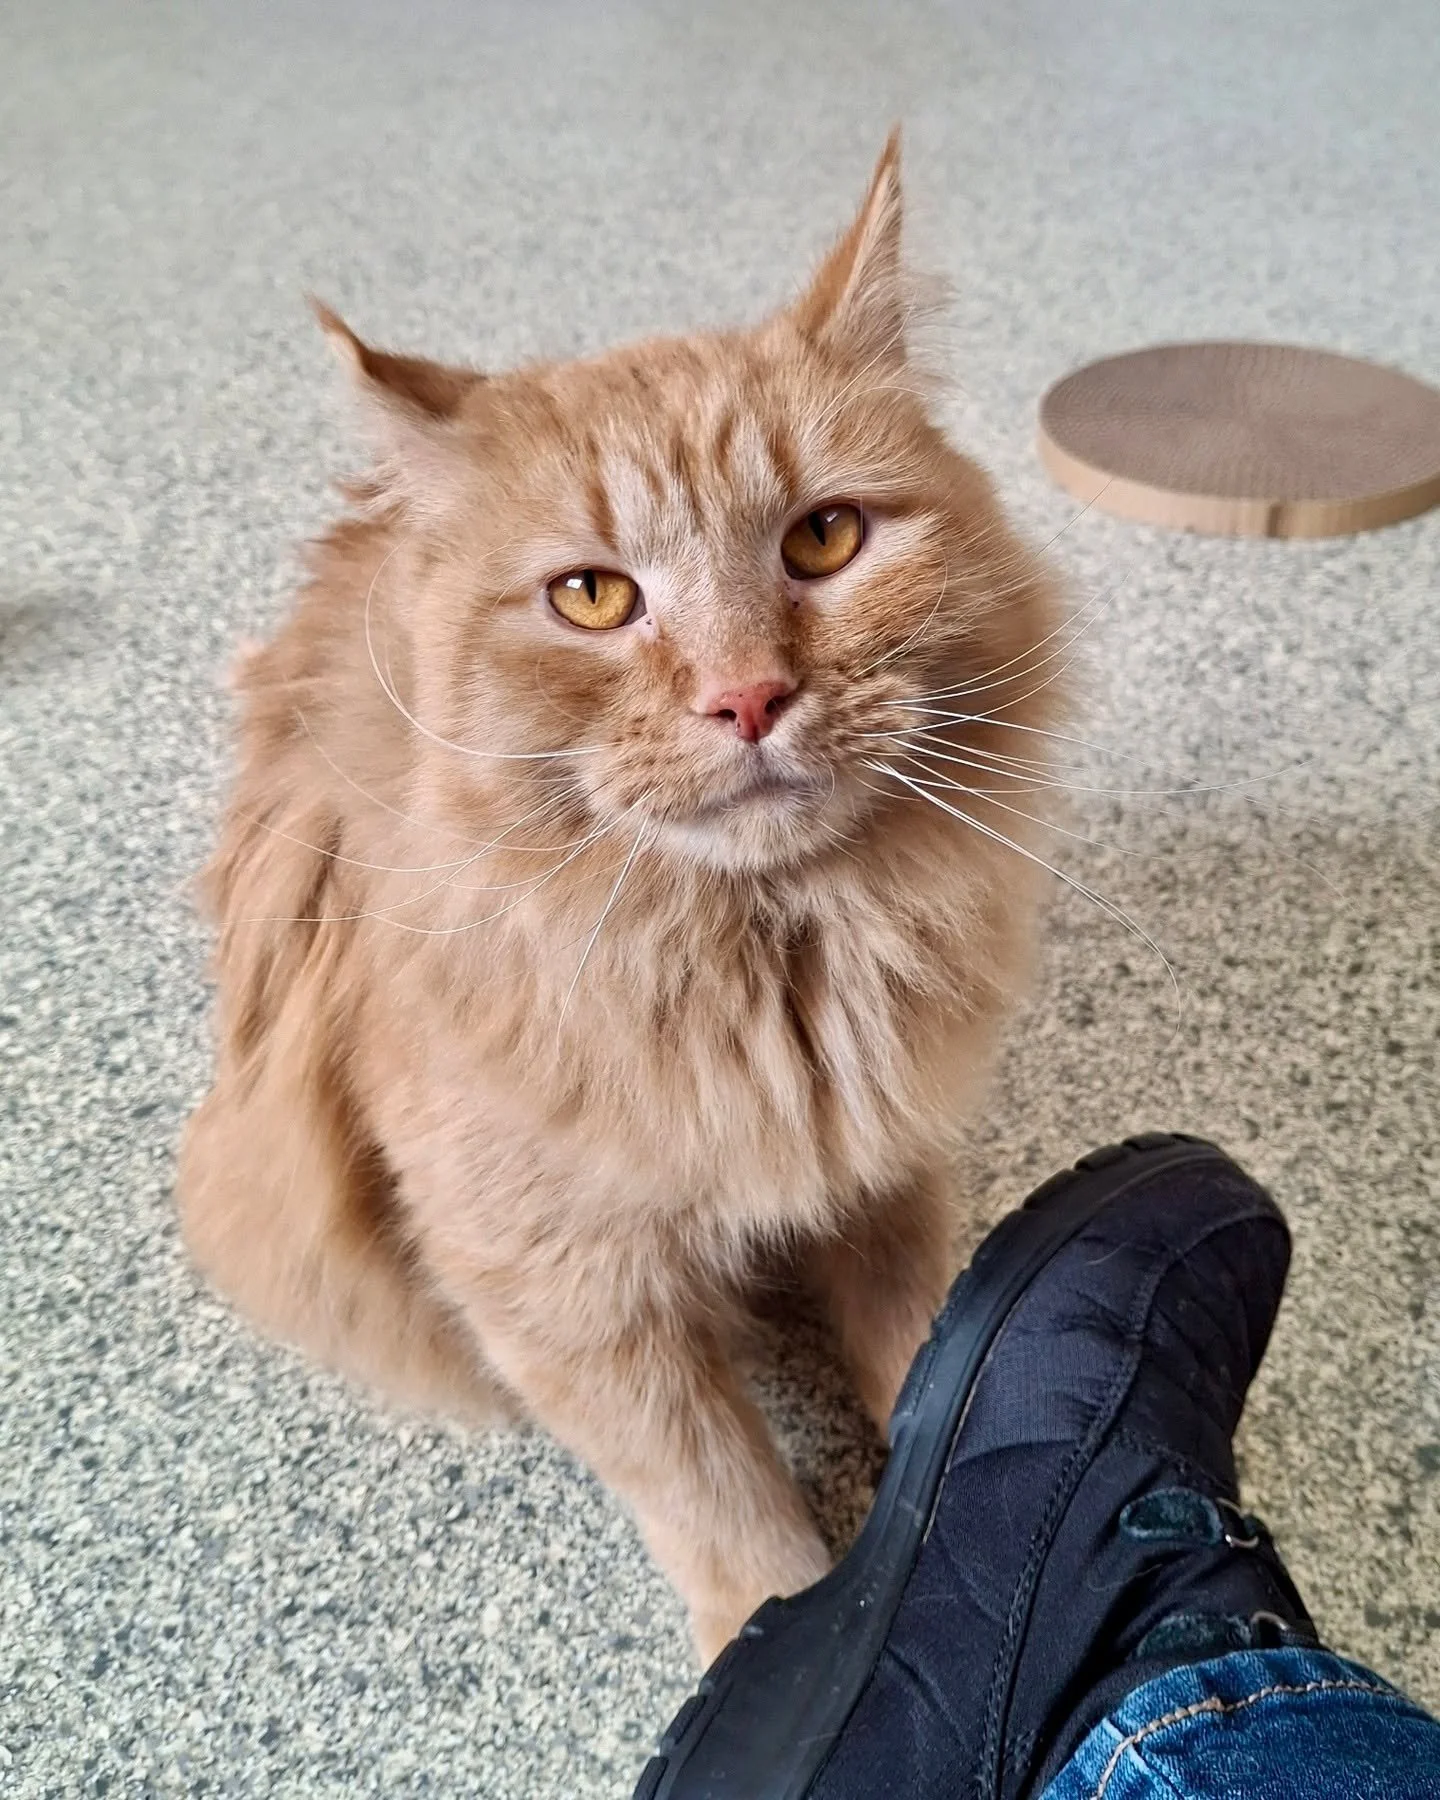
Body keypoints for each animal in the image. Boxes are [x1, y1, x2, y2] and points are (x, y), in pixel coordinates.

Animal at [177, 133, 1060, 1662]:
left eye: (825, 540)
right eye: (593, 598)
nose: (749, 696)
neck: (767, 963)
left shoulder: (885, 1165)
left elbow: (929, 1342)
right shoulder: (562, 1287)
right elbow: (715, 1494)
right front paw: (777, 1632)